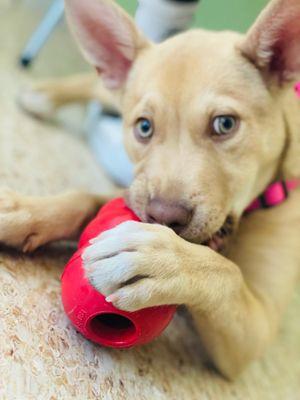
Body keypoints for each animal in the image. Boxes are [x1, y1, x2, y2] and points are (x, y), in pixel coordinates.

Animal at [4, 0, 300, 378]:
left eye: (225, 124)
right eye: (144, 127)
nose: (164, 218)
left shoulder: (256, 330)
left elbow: (227, 274)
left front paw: (161, 261)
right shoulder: (137, 193)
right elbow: (84, 199)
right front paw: (23, 211)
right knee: (98, 85)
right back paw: (43, 94)